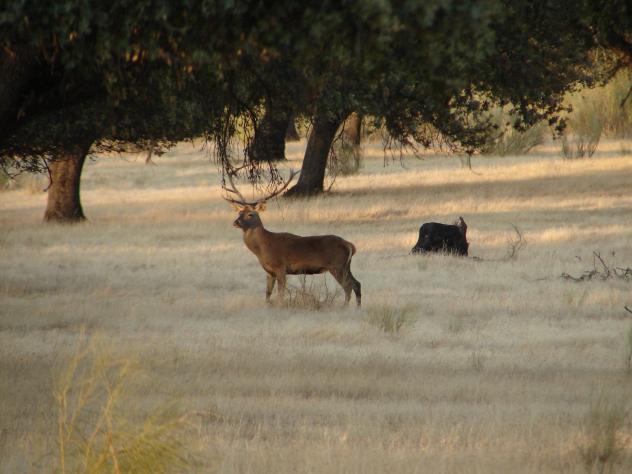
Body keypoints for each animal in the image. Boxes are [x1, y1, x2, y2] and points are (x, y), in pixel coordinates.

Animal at [223, 170, 361, 307]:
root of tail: (349, 245)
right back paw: (357, 307)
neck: (262, 247)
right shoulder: (269, 271)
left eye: (251, 214)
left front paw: (280, 306)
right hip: (345, 266)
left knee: (348, 286)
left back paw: (345, 307)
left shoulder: (280, 266)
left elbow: (280, 293)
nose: (235, 223)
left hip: (337, 265)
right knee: (356, 283)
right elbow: (268, 294)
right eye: (239, 213)